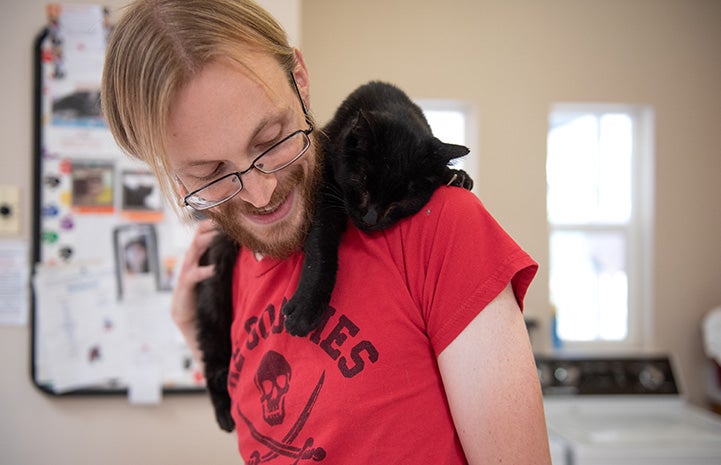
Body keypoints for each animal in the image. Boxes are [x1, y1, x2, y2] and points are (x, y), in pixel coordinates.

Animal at [194, 80, 472, 432]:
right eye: (362, 184)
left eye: (401, 201)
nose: (371, 219)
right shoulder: (326, 192)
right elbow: (321, 248)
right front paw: (306, 308)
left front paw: (458, 178)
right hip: (213, 296)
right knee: (211, 353)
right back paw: (223, 410)